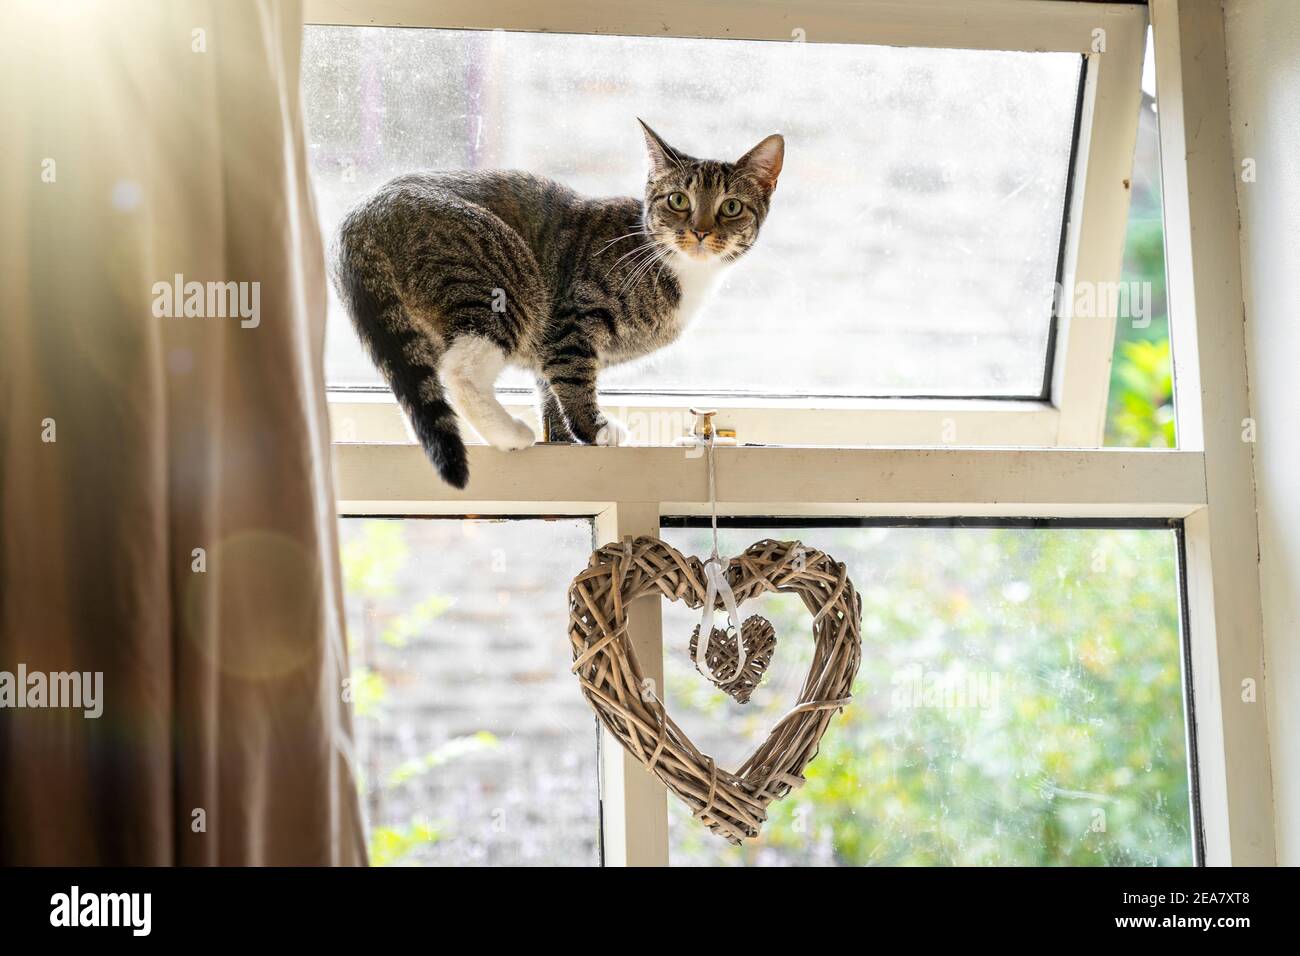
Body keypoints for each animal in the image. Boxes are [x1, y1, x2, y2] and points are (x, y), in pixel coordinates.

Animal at [330, 120, 785, 489]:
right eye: (678, 201)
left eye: (731, 207)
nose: (700, 231)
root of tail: (365, 213)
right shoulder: (572, 316)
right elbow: (573, 375)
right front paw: (595, 430)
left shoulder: (547, 345)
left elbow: (549, 383)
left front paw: (561, 435)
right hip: (502, 276)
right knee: (460, 370)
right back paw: (510, 434)